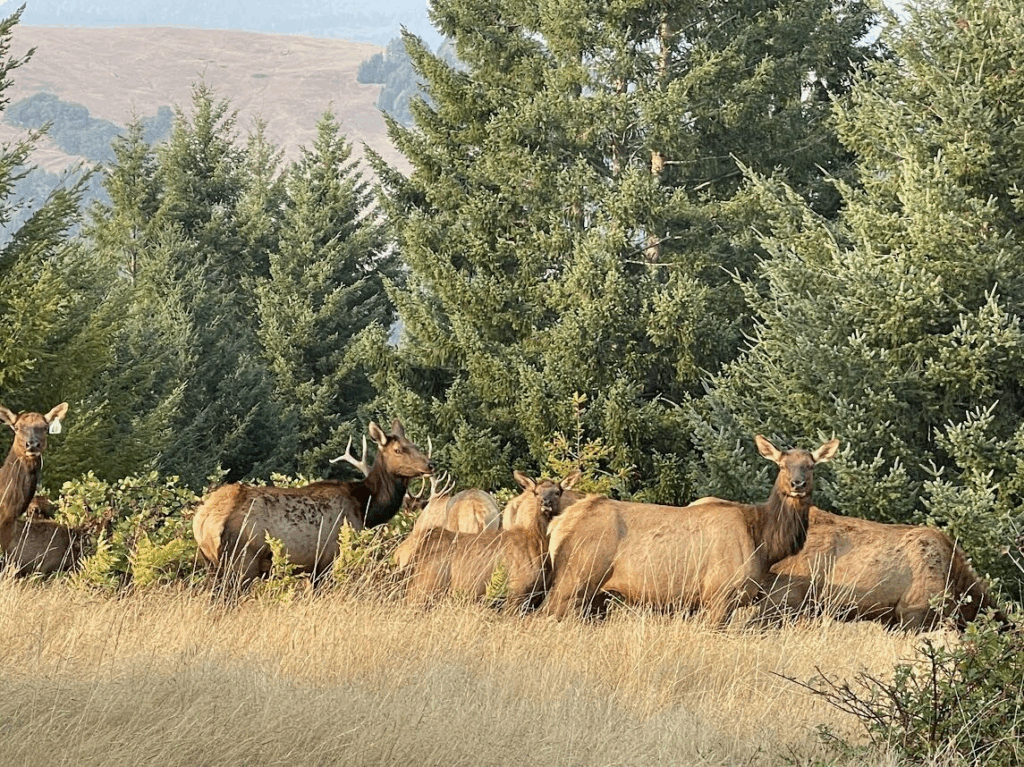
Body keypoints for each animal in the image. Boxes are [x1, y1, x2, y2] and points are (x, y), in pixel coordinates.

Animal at [192, 419, 433, 586]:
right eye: (398, 450)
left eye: (415, 445)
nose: (430, 464)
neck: (364, 509)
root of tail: (204, 522)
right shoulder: (329, 559)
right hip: (242, 561)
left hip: (211, 565)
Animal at [404, 470, 581, 611]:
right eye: (536, 492)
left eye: (557, 492)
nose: (546, 502)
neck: (540, 547)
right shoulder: (516, 591)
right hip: (425, 587)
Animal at [542, 435, 839, 623]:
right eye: (781, 465)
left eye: (811, 466)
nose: (797, 484)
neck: (763, 542)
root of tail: (559, 524)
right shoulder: (720, 593)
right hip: (575, 577)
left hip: (596, 594)